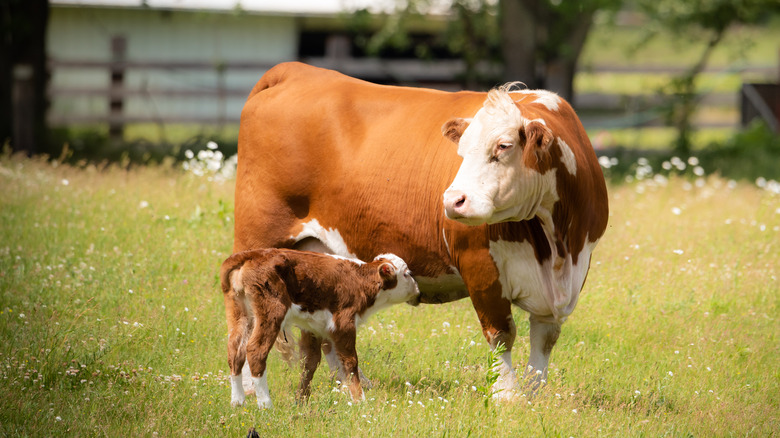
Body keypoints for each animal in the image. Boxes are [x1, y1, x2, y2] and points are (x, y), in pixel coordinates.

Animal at [222, 248, 419, 409]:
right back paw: (266, 405)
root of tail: (252, 254)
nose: (418, 290)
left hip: (241, 314)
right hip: (271, 312)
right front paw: (359, 400)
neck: (359, 281)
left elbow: (310, 363)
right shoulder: (344, 324)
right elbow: (350, 362)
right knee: (255, 351)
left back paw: (237, 402)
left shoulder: (314, 329)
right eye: (407, 273)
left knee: (235, 351)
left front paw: (301, 400)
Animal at [232, 62, 609, 399]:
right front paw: (507, 397)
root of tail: (295, 70)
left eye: (504, 146)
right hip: (257, 243)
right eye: (461, 150)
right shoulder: (480, 266)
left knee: (323, 336)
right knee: (246, 325)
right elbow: (501, 333)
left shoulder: (571, 274)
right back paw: (250, 389)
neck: (556, 246)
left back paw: (351, 386)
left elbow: (544, 339)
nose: (452, 200)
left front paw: (534, 396)